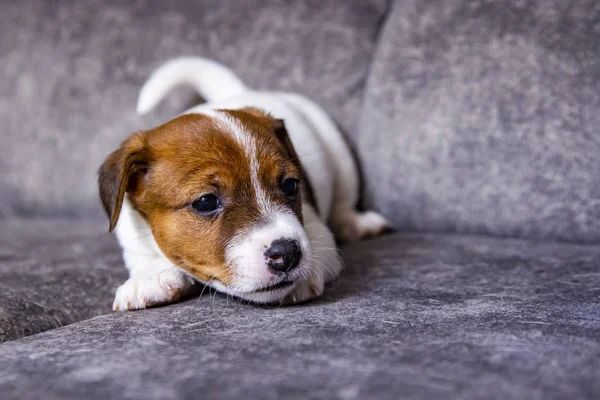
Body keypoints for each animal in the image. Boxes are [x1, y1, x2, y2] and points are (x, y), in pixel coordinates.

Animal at [99, 57, 390, 310]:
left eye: (290, 185)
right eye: (206, 202)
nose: (287, 252)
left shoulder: (317, 230)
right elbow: (143, 255)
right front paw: (149, 276)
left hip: (339, 154)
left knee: (343, 203)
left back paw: (357, 223)